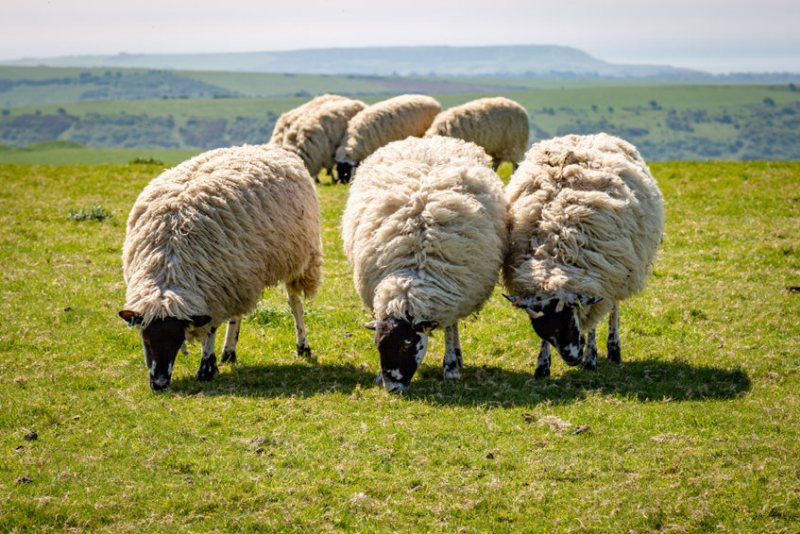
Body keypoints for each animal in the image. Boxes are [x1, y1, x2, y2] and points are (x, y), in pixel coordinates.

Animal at [118, 144, 322, 391]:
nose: (159, 383)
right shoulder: (221, 285)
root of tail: (268, 147)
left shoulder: (214, 295)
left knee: (295, 304)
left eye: (177, 339)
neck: (168, 268)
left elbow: (210, 330)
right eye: (145, 338)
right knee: (237, 314)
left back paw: (303, 346)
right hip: (241, 272)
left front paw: (206, 368)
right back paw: (229, 352)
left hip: (294, 256)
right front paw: (214, 361)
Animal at [342, 136, 508, 392]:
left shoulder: (452, 296)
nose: (392, 389)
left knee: (454, 326)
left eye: (406, 344)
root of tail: (429, 139)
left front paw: (451, 368)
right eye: (378, 345)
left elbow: (449, 329)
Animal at [503, 133, 664, 378]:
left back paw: (614, 349)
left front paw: (591, 359)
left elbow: (593, 319)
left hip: (619, 269)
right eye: (544, 326)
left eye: (568, 320)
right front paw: (542, 366)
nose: (573, 359)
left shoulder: (597, 280)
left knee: (613, 308)